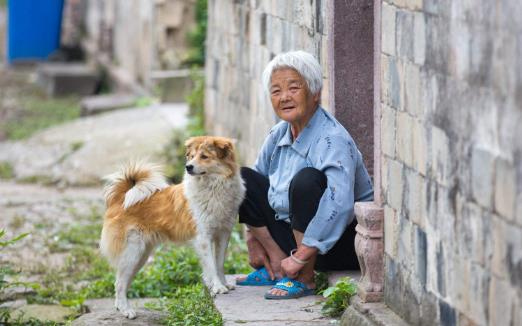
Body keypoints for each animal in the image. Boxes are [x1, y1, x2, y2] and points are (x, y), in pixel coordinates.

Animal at [100, 136, 246, 320]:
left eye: (204, 156)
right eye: (191, 156)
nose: (188, 167)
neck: (213, 187)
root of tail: (121, 197)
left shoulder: (223, 234)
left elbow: (219, 264)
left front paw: (223, 284)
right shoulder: (203, 238)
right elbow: (211, 265)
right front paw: (218, 287)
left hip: (140, 256)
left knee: (123, 281)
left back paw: (121, 307)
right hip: (132, 252)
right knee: (119, 282)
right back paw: (126, 310)